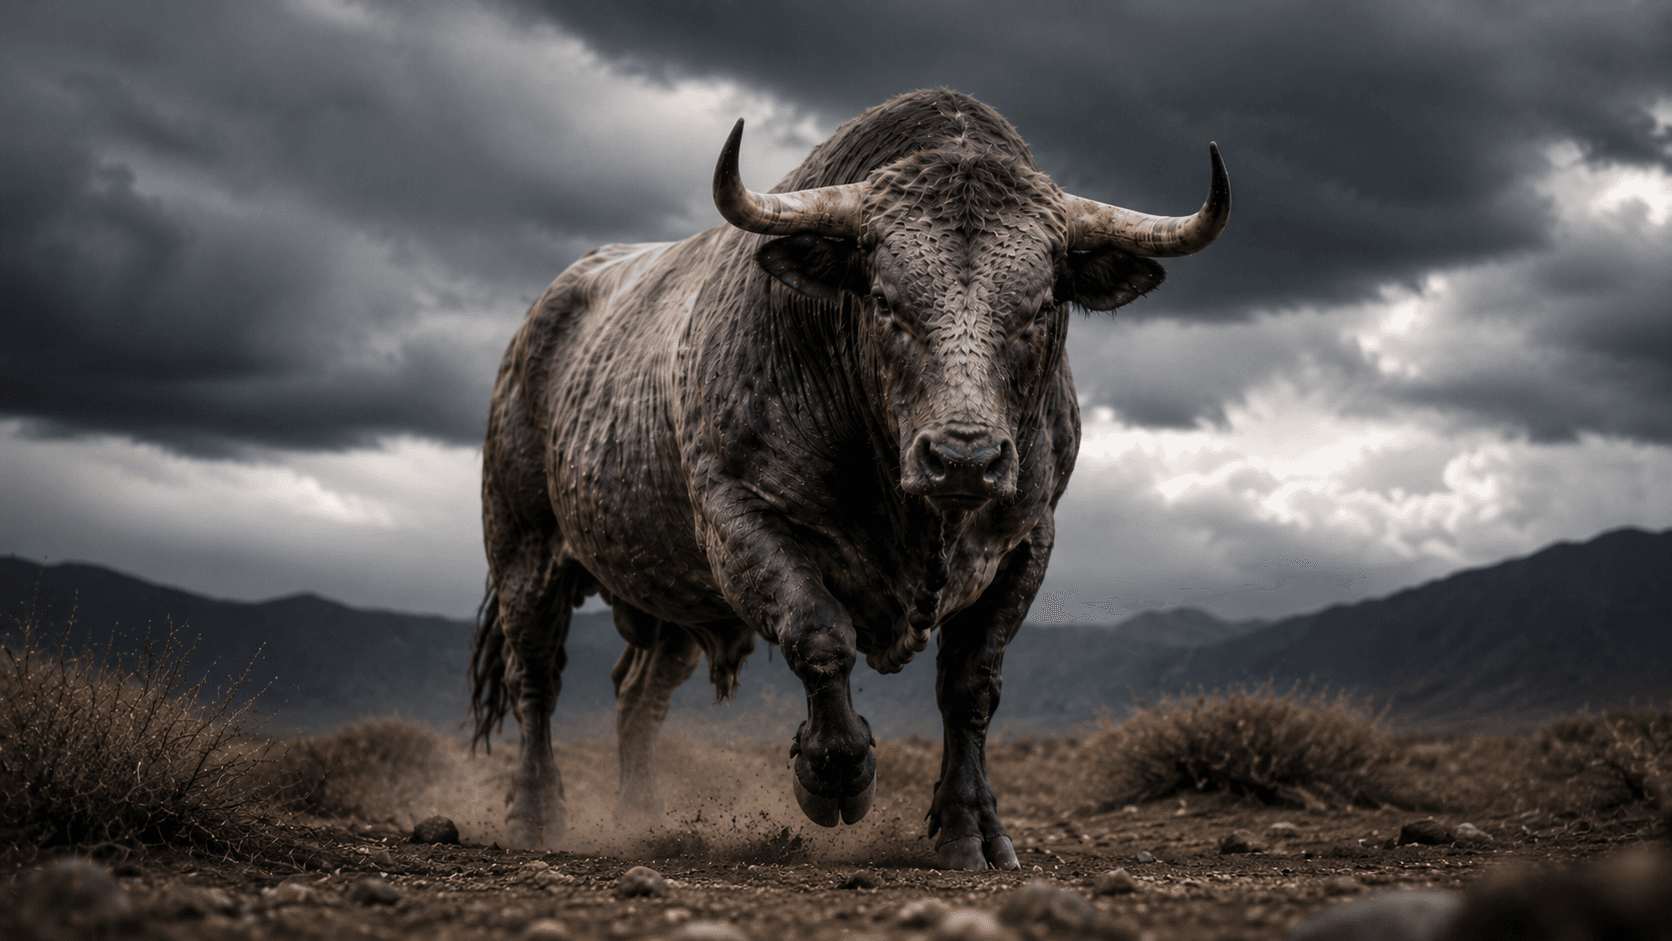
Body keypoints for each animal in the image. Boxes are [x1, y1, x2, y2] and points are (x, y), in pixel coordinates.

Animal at [469, 89, 1229, 871]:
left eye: (1041, 306)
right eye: (886, 301)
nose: (963, 457)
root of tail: (541, 320)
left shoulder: (1027, 538)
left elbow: (970, 686)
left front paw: (971, 829)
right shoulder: (740, 516)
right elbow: (819, 634)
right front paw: (835, 773)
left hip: (674, 600)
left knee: (636, 694)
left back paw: (642, 816)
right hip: (525, 550)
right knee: (537, 678)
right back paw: (537, 814)